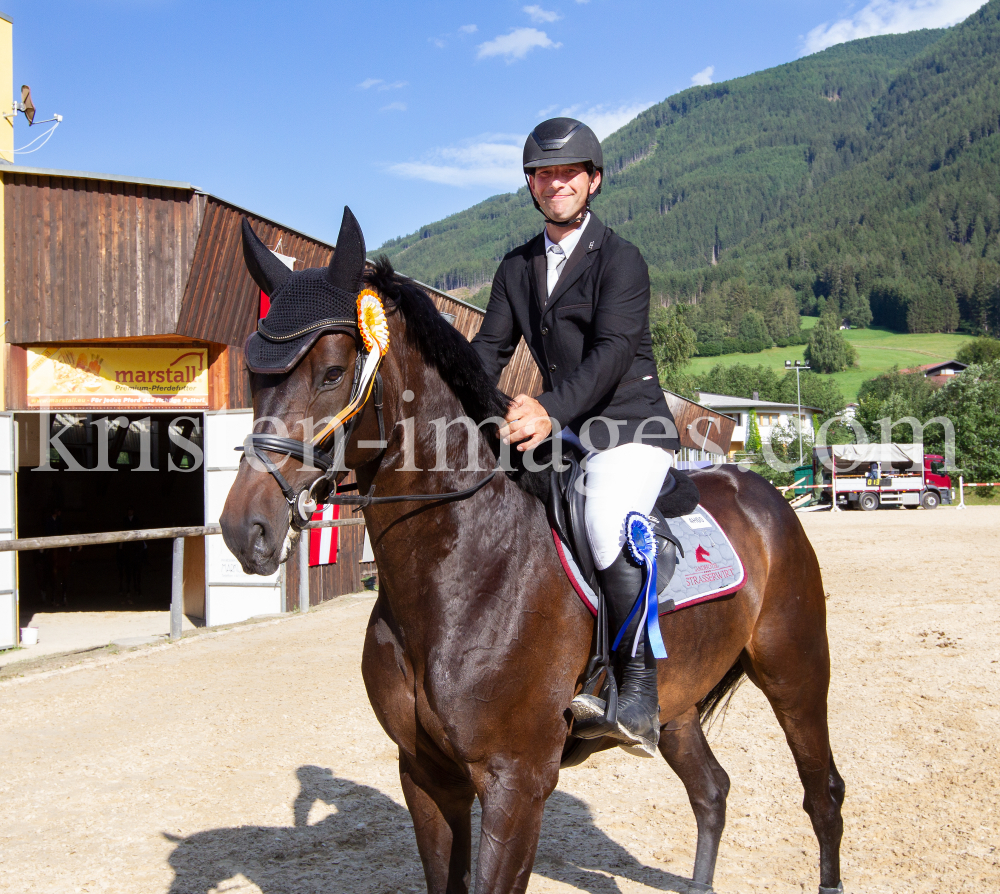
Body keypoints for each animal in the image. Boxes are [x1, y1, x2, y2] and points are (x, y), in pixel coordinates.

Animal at [219, 258, 844, 894]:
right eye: (251, 377)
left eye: (333, 372)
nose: (246, 529)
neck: (459, 569)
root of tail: (763, 492)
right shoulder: (425, 774)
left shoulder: (515, 783)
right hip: (677, 703)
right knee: (711, 790)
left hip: (794, 672)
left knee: (822, 793)